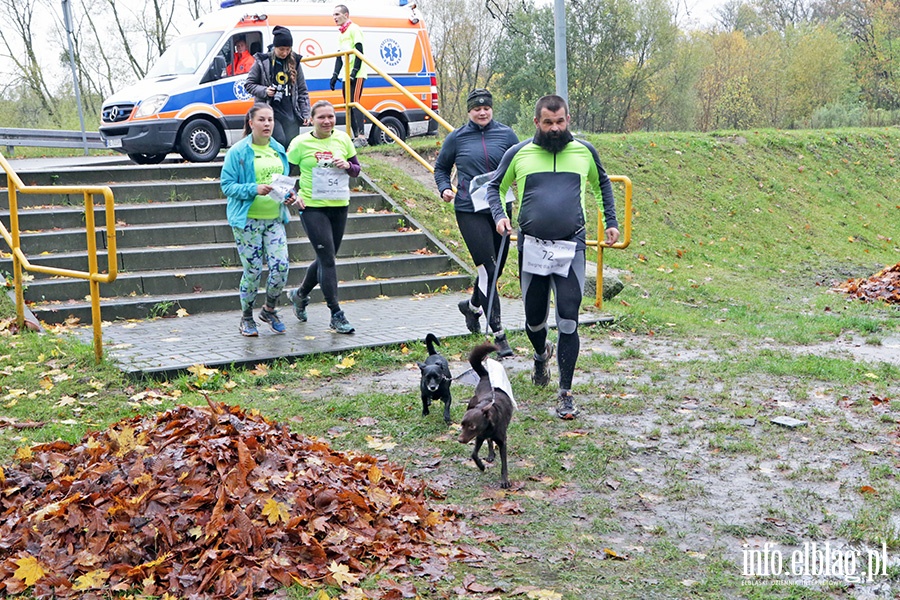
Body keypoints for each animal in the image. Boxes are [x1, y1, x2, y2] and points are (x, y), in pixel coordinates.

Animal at [460, 342, 516, 488]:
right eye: (462, 425)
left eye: (472, 426)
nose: (460, 440)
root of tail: (486, 375)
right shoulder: (479, 437)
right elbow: (474, 454)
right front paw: (481, 466)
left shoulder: (502, 442)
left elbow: (504, 464)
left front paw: (505, 481)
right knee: (489, 441)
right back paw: (490, 455)